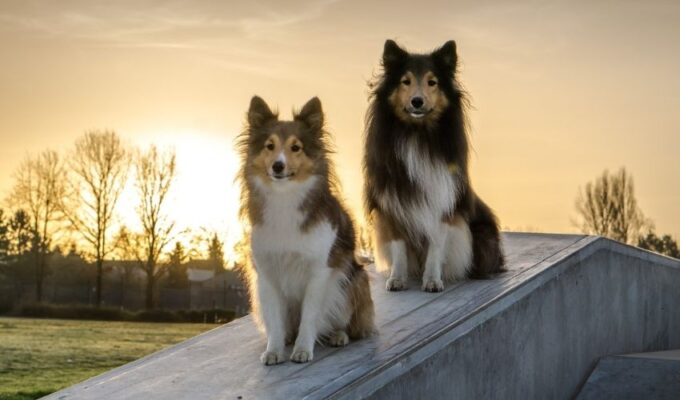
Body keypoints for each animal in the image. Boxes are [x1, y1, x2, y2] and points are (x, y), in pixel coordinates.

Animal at [238, 95, 378, 364]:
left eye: (296, 147)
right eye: (270, 146)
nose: (278, 166)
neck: (285, 197)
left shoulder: (318, 273)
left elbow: (310, 316)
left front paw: (303, 349)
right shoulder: (267, 275)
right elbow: (275, 320)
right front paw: (274, 350)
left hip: (353, 281)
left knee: (349, 324)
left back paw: (338, 335)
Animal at [362, 39, 504, 294]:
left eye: (432, 82)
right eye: (405, 81)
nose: (417, 101)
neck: (417, 134)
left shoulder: (442, 200)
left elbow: (436, 245)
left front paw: (432, 280)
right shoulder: (392, 202)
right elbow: (398, 246)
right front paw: (397, 278)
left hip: (483, 236)